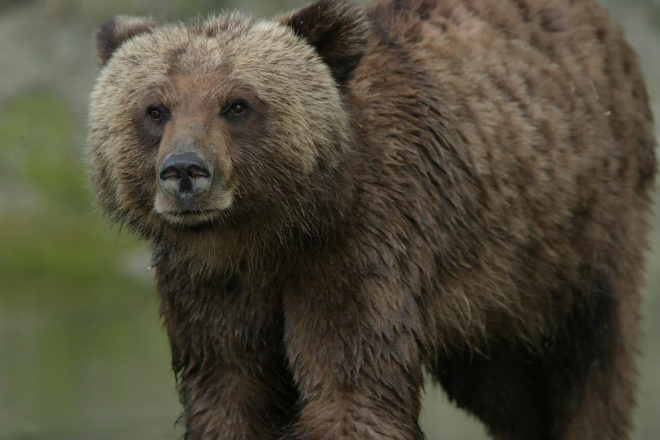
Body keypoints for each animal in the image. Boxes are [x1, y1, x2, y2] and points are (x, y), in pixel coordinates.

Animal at [86, 0, 657, 439]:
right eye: (155, 109)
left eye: (237, 103)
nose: (184, 171)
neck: (269, 234)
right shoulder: (209, 285)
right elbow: (228, 388)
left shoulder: (363, 245)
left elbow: (351, 387)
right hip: (496, 292)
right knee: (509, 393)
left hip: (582, 230)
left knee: (592, 367)